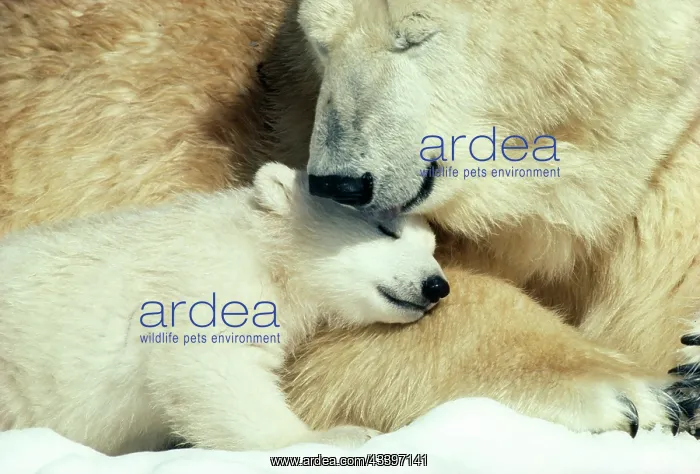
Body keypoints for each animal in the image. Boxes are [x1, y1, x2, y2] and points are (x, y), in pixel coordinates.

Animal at [0, 162, 449, 455]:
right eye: (385, 228)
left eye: (432, 247)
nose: (436, 286)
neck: (264, 248)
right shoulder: (208, 278)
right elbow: (213, 365)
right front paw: (336, 435)